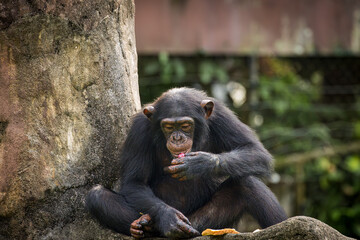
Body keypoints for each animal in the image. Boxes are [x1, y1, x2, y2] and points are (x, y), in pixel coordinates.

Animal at [86, 87, 288, 237]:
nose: (177, 137)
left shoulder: (221, 116)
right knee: (97, 196)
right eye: (168, 127)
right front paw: (168, 217)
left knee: (248, 185)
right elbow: (134, 182)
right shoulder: (139, 130)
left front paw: (198, 164)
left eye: (185, 125)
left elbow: (254, 150)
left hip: (205, 224)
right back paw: (145, 225)